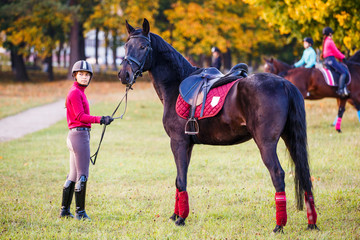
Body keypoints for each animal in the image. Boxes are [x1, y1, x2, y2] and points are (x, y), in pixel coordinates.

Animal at [118, 18, 318, 232]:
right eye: (126, 46)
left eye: (143, 46)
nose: (123, 75)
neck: (176, 84)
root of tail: (284, 84)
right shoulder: (187, 145)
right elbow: (179, 179)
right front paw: (176, 215)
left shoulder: (178, 142)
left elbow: (180, 179)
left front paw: (181, 219)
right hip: (290, 138)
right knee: (304, 173)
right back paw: (311, 222)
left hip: (266, 143)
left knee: (277, 174)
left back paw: (279, 226)